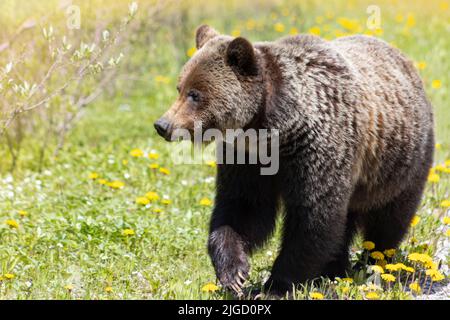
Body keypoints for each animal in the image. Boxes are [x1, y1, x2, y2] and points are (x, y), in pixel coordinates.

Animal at [154, 25, 432, 298]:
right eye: (180, 88)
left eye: (195, 94)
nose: (163, 125)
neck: (274, 131)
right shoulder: (247, 159)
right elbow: (242, 209)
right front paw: (234, 273)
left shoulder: (316, 149)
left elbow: (313, 217)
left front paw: (274, 286)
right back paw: (336, 270)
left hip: (398, 165)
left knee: (388, 220)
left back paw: (374, 264)